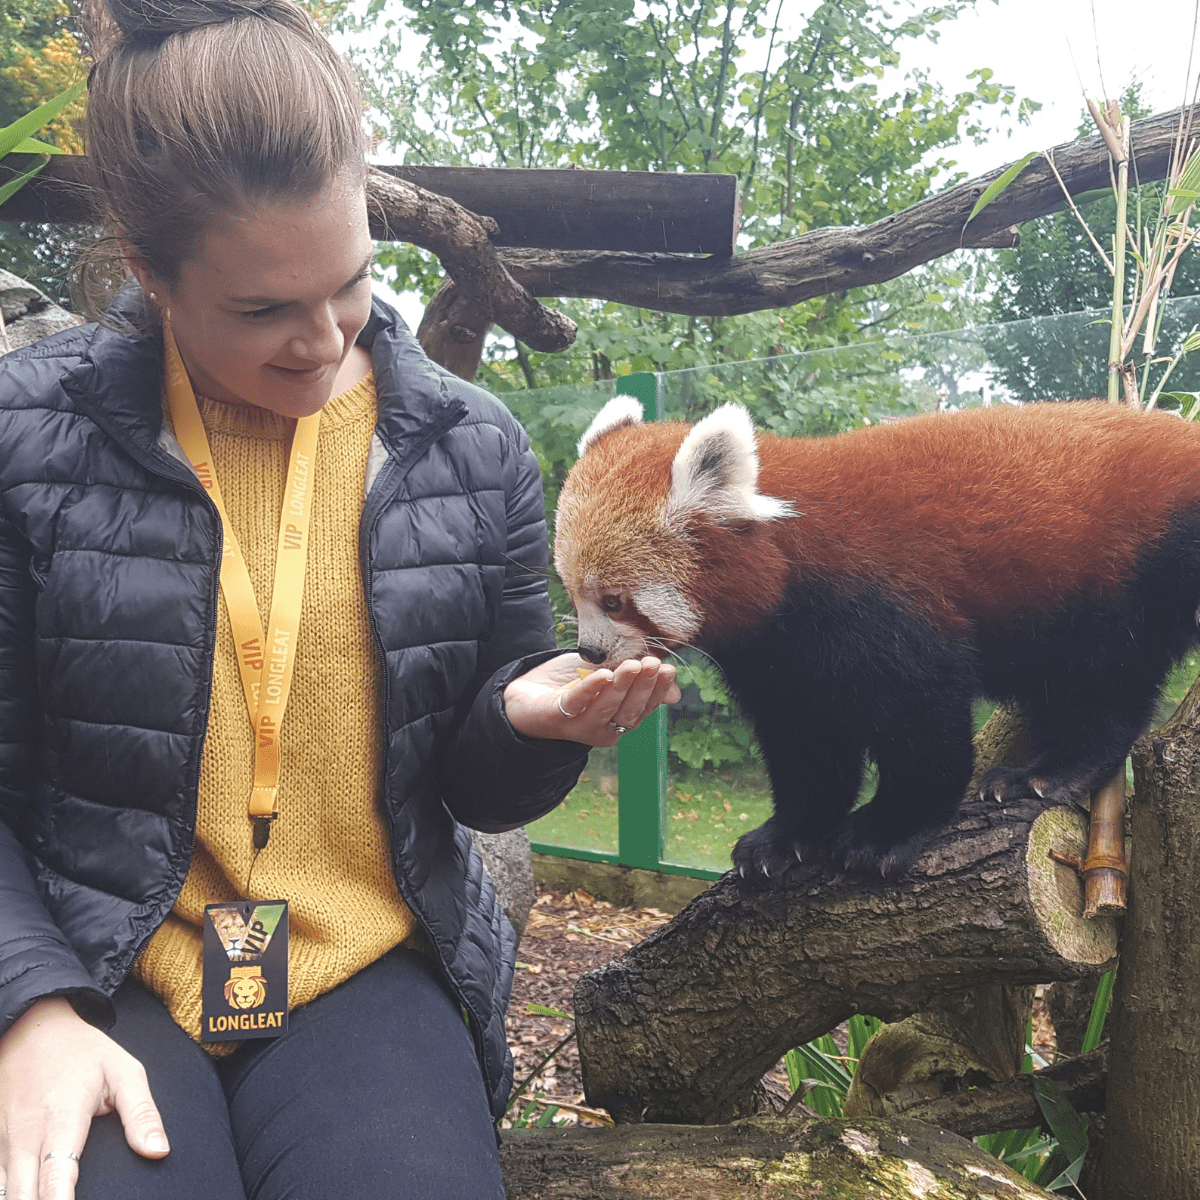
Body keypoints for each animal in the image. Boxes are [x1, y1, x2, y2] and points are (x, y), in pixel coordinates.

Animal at [553, 396, 1200, 880]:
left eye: (615, 601)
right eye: (572, 591)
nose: (591, 652)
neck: (788, 565)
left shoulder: (882, 605)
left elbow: (923, 724)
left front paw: (888, 830)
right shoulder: (778, 657)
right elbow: (806, 746)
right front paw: (785, 836)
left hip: (1126, 571)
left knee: (1105, 682)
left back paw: (1048, 773)